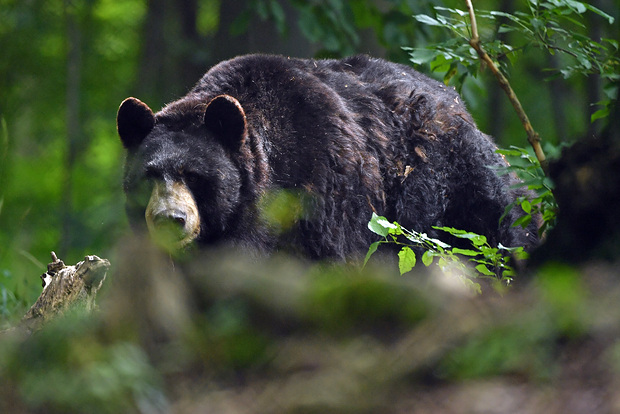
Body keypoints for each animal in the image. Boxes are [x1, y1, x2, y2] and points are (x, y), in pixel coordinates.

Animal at [116, 54, 536, 258]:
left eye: (194, 174)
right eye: (148, 175)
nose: (171, 219)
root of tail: (461, 108)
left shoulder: (327, 190)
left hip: (452, 188)